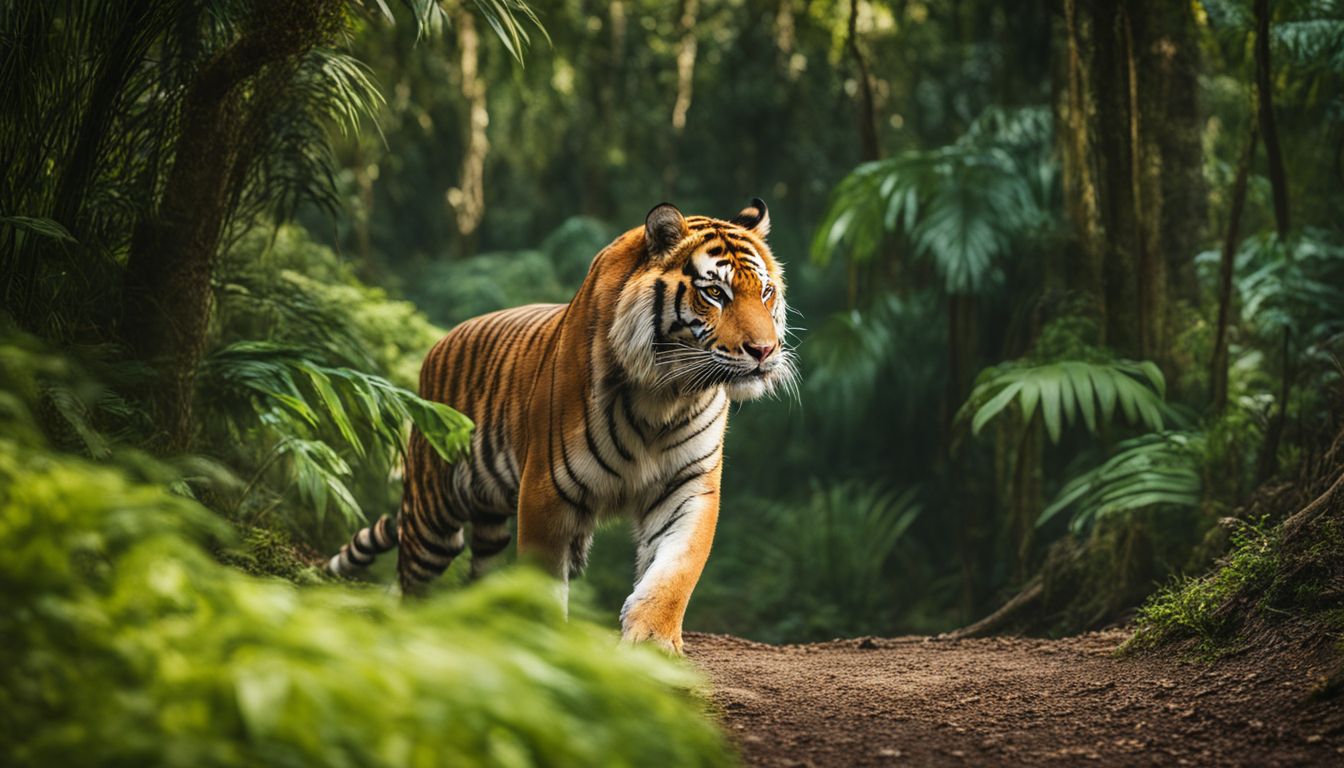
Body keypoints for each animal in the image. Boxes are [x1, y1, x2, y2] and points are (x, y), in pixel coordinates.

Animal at [326, 200, 790, 656]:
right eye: (715, 293)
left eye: (765, 292)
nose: (765, 351)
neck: (665, 396)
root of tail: (437, 346)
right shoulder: (547, 490)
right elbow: (542, 579)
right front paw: (543, 642)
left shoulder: (688, 485)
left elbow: (677, 568)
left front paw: (654, 640)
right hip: (434, 515)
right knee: (411, 581)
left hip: (487, 523)